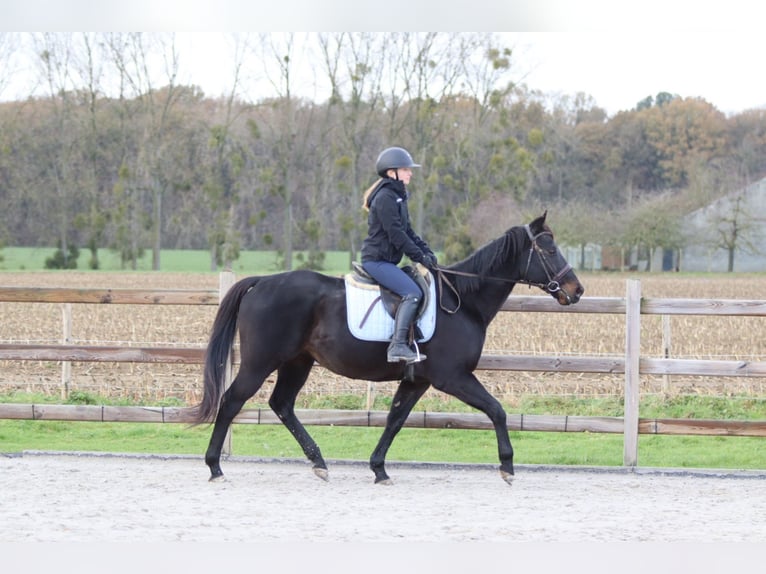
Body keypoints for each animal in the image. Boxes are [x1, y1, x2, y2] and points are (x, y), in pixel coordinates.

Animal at [195, 212, 584, 485]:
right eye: (550, 249)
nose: (576, 290)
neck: (463, 301)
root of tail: (261, 282)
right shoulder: (453, 377)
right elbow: (497, 410)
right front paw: (507, 465)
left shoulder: (418, 380)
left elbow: (395, 419)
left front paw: (379, 468)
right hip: (261, 361)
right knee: (232, 401)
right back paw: (214, 466)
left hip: (297, 362)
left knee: (282, 405)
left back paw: (319, 462)